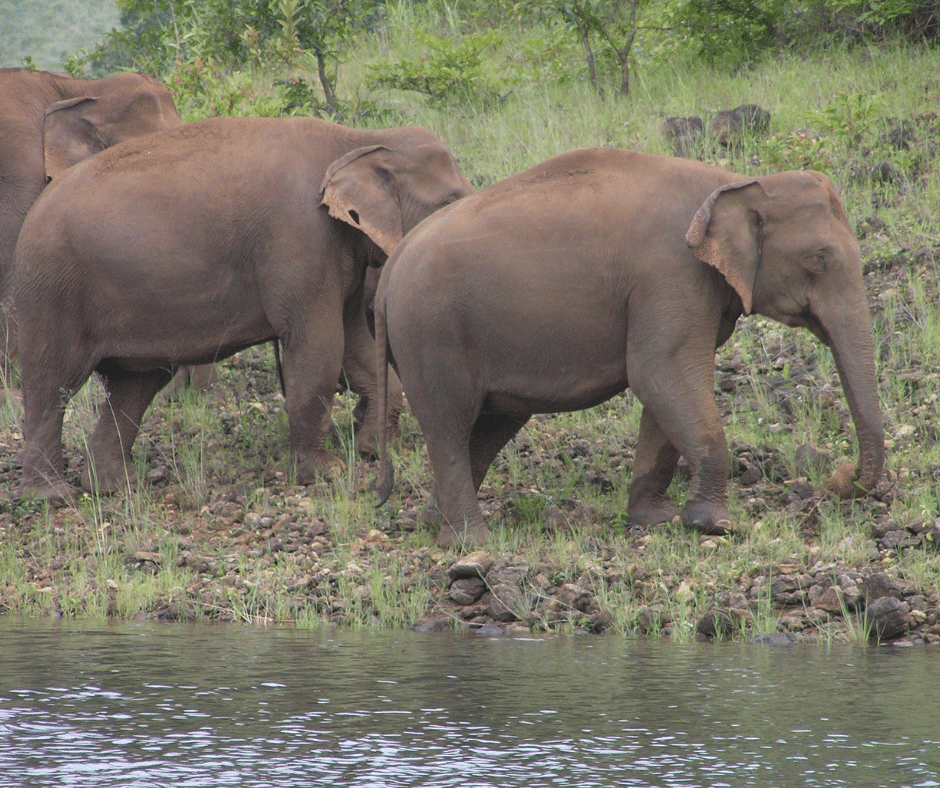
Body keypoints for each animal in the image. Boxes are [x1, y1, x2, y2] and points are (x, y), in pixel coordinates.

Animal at [12, 114, 470, 502]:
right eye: (452, 199)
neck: (360, 139)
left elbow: (355, 343)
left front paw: (370, 449)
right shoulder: (300, 240)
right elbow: (318, 345)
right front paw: (326, 472)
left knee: (134, 386)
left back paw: (117, 485)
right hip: (51, 291)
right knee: (52, 384)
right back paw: (53, 495)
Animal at [372, 146, 880, 548]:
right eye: (820, 258)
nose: (840, 478)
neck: (734, 182)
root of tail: (391, 269)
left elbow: (667, 387)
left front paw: (657, 520)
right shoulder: (672, 274)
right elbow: (660, 372)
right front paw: (715, 525)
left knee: (490, 427)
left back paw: (432, 522)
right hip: (430, 333)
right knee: (450, 425)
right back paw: (469, 542)